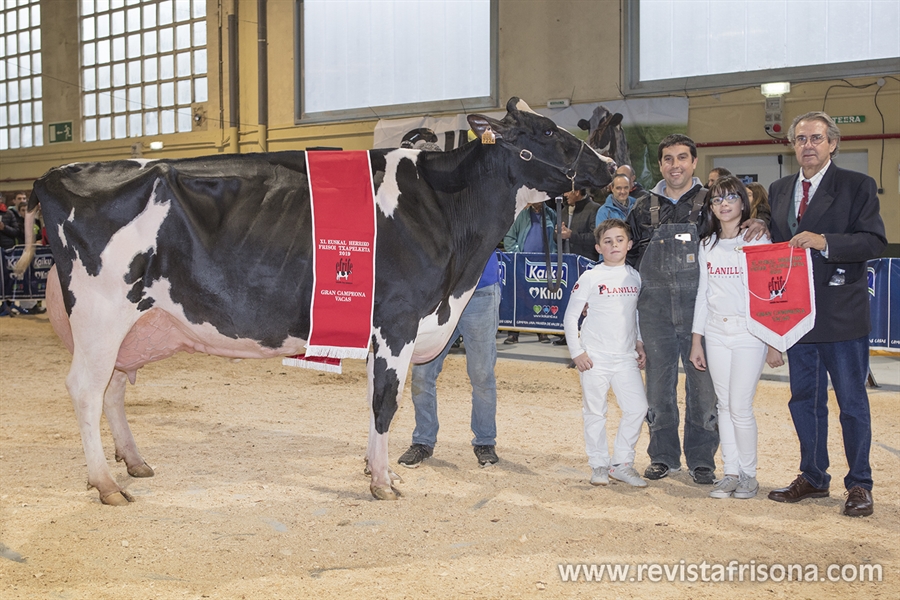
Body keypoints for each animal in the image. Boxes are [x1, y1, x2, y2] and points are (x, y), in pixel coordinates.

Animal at [17, 97, 616, 502]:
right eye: (547, 131)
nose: (611, 168)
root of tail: (56, 174)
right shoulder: (397, 321)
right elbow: (386, 402)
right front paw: (383, 483)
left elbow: (378, 402)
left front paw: (378, 469)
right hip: (101, 312)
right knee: (85, 390)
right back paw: (106, 484)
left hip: (132, 327)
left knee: (114, 389)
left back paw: (135, 463)